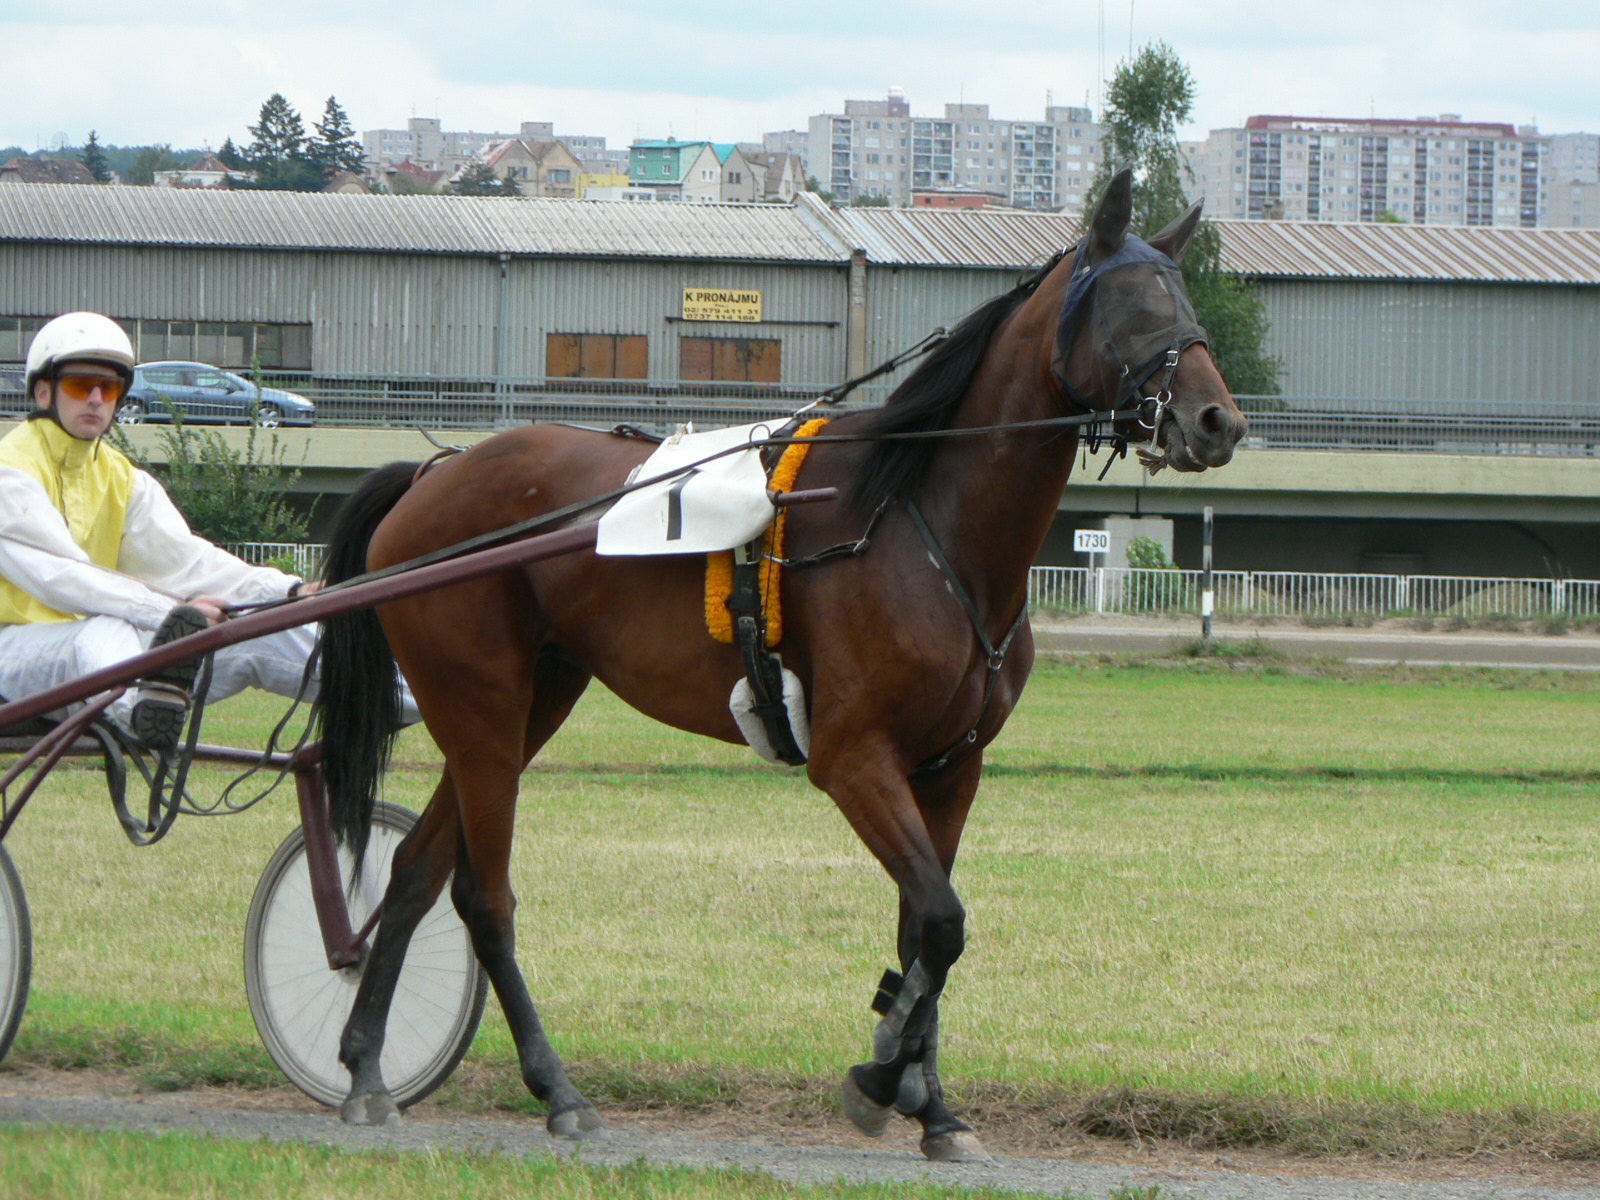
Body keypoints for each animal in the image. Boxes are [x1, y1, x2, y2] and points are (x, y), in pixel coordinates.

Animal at [308, 171, 1235, 1164]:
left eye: (1186, 299)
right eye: (1132, 305)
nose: (1218, 419)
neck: (925, 522)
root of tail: (432, 475)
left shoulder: (952, 767)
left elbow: (924, 931)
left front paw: (934, 1107)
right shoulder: (853, 757)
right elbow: (941, 924)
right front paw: (880, 1075)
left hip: (529, 703)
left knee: (414, 873)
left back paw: (364, 1068)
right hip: (481, 703)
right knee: (482, 896)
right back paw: (557, 1090)